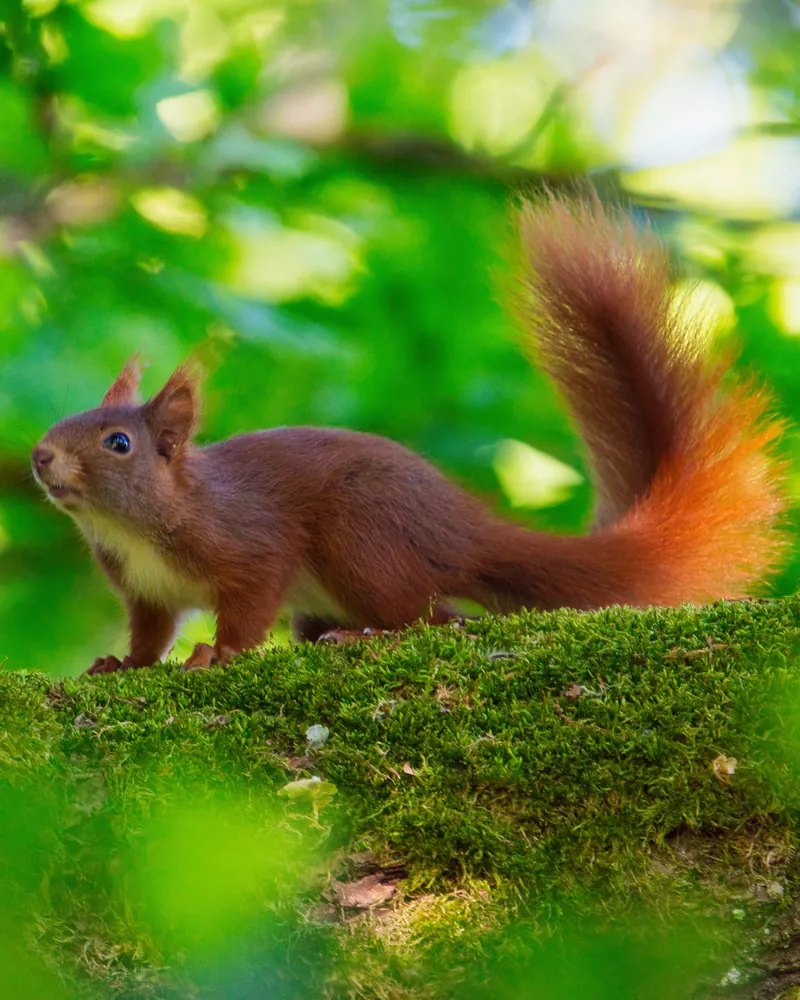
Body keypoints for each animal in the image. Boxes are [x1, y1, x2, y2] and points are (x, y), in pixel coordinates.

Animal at [31, 193, 787, 674]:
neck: (134, 523)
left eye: (119, 443)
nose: (39, 457)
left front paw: (218, 653)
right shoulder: (147, 591)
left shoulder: (248, 540)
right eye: (63, 422)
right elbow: (149, 633)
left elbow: (248, 604)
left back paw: (366, 638)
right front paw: (120, 663)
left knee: (435, 619)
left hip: (361, 538)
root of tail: (463, 530)